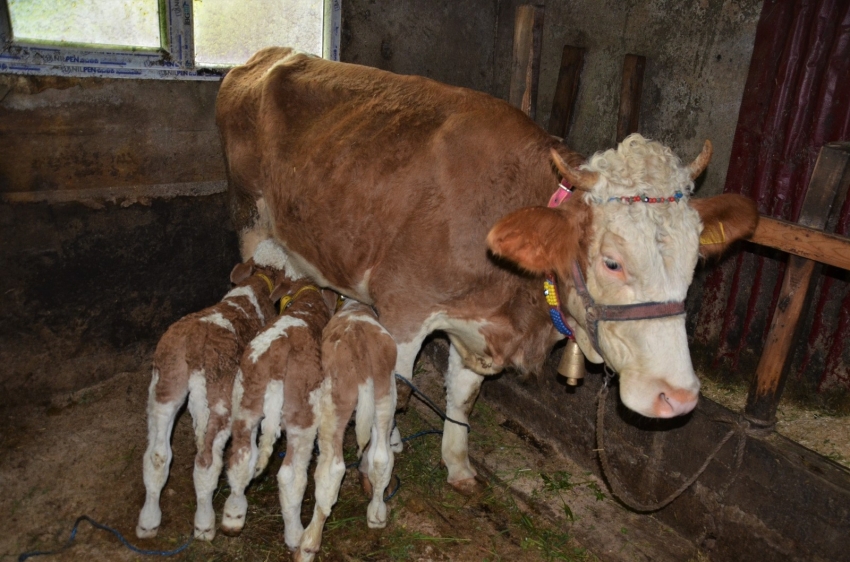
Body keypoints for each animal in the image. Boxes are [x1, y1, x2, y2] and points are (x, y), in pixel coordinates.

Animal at [215, 46, 760, 496]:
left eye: (694, 261)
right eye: (612, 261)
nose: (677, 397)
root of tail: (265, 56)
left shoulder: (477, 327)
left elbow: (461, 398)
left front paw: (457, 466)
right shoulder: (404, 309)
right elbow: (395, 392)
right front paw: (380, 463)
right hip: (250, 219)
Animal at [220, 276, 336, 548]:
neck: (307, 303)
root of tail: (276, 362)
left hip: (246, 405)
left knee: (241, 458)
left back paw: (233, 517)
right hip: (302, 419)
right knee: (290, 475)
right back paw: (294, 535)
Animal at [296, 296, 396, 556]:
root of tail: (360, 348)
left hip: (333, 406)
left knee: (331, 471)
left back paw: (307, 545)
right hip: (385, 397)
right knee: (382, 458)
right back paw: (376, 515)